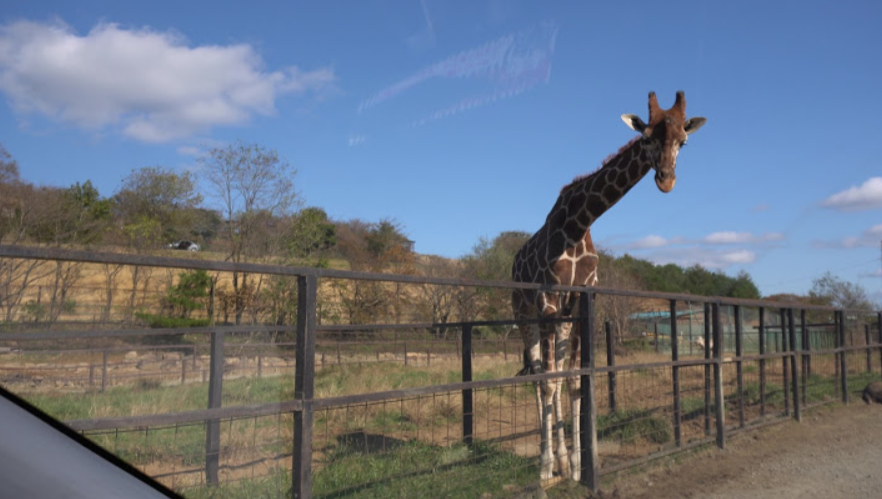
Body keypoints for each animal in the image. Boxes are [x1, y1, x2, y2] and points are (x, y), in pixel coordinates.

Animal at [508, 91, 700, 480]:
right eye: (647, 138)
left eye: (683, 142)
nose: (666, 180)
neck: (579, 222)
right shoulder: (548, 300)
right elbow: (548, 381)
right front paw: (545, 472)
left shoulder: (581, 302)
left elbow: (575, 382)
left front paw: (576, 467)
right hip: (525, 314)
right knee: (538, 376)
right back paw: (546, 463)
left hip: (561, 319)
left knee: (557, 374)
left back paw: (562, 461)